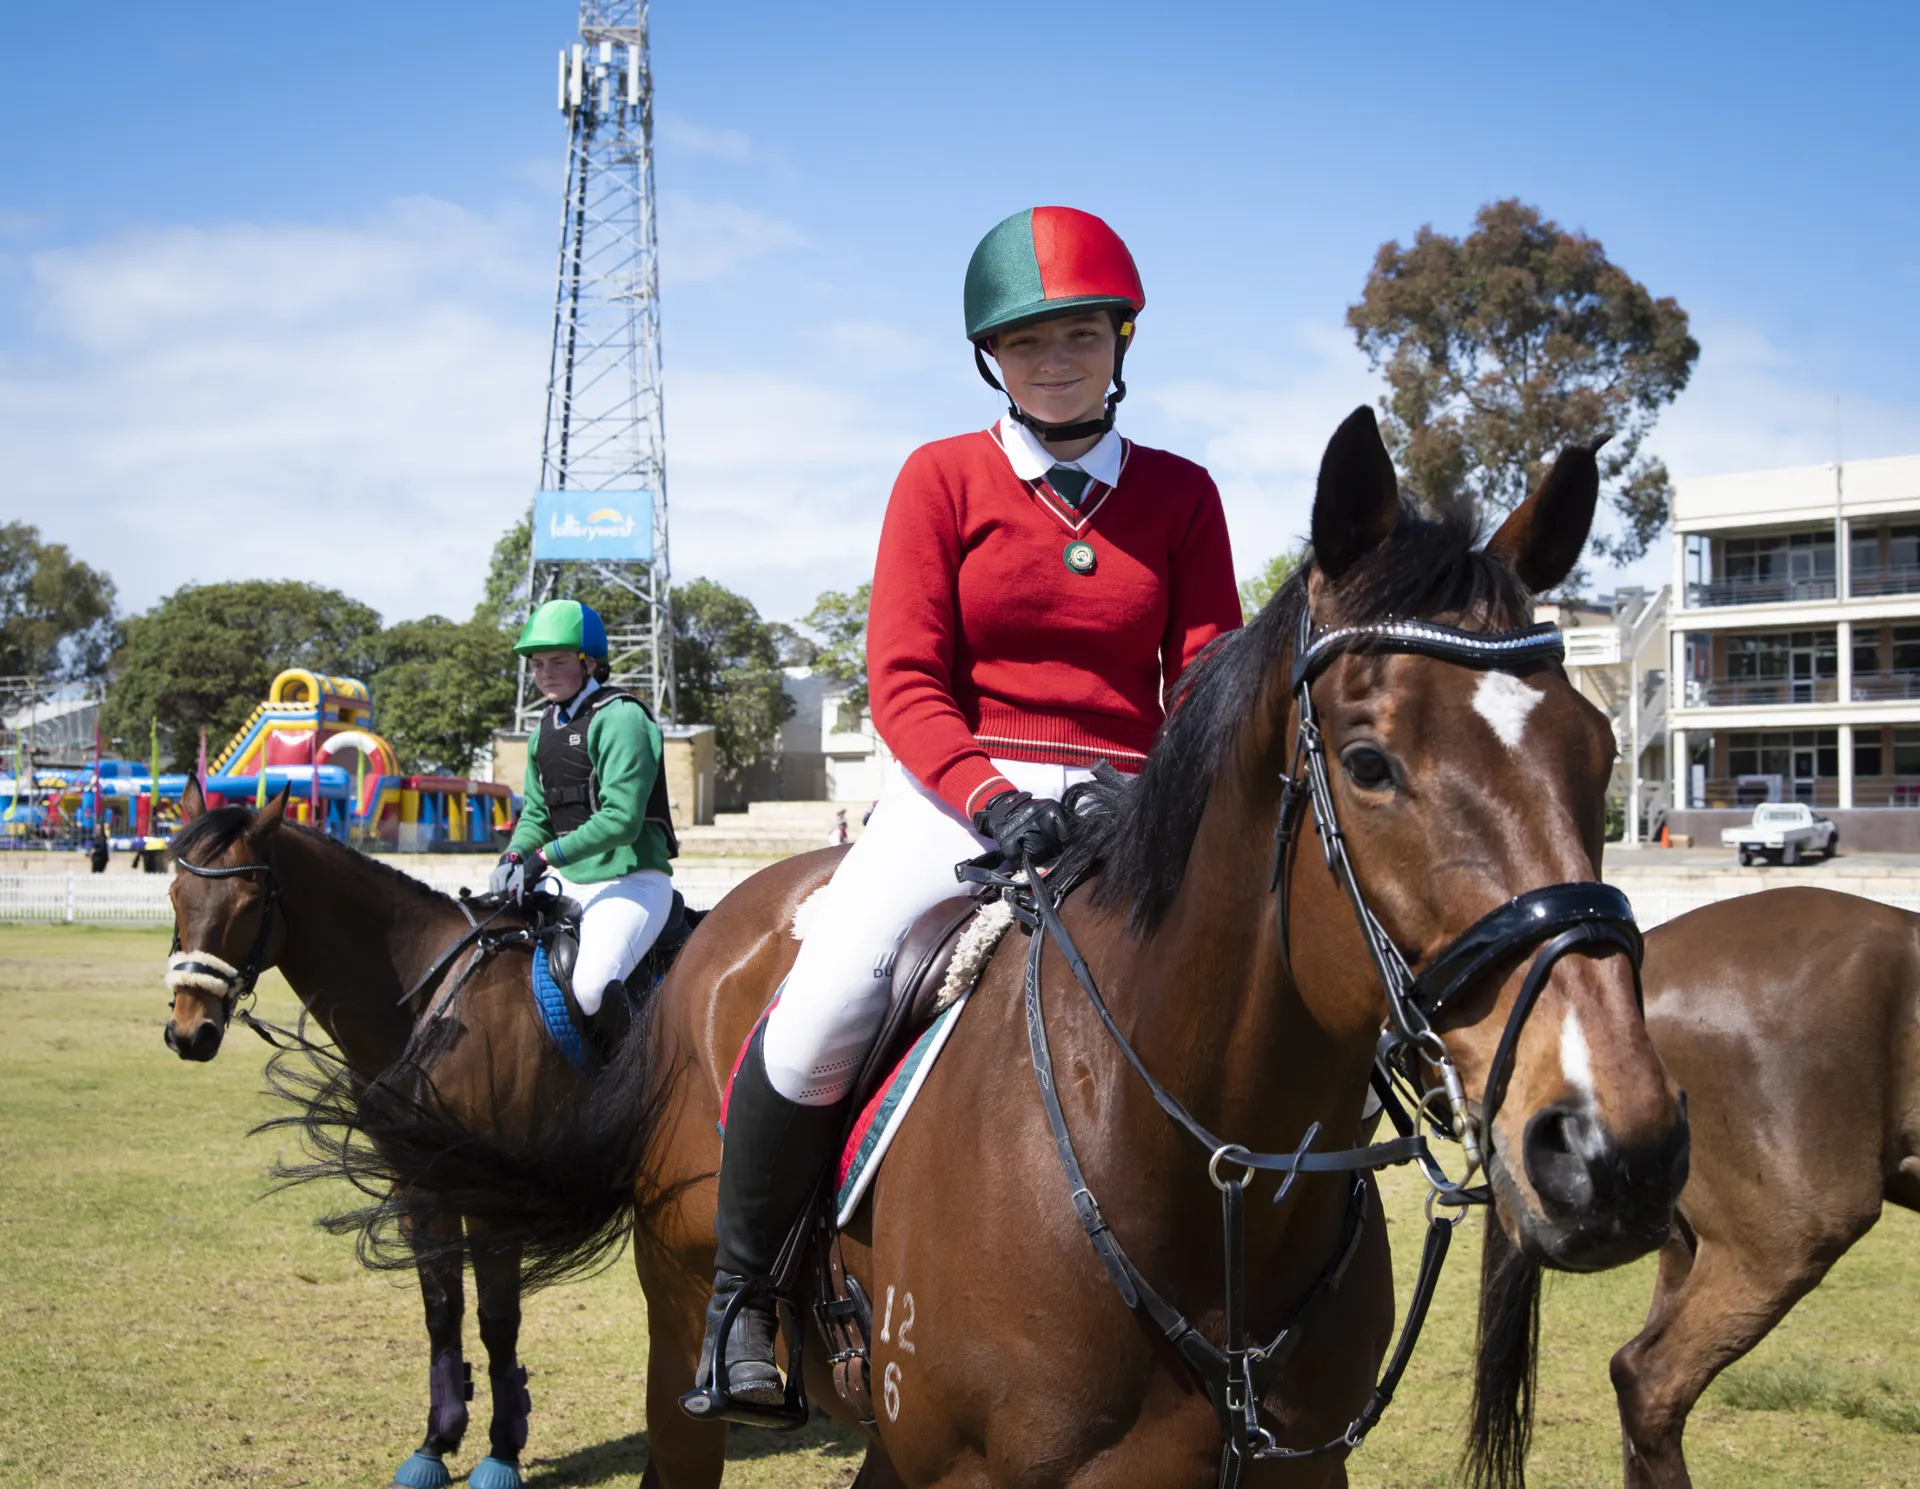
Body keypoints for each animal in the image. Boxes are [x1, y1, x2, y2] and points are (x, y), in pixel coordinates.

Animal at [162, 782, 667, 1489]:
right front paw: (437, 1440)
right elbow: (442, 1310)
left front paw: (502, 1451)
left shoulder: (492, 1195)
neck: (434, 996)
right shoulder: (421, 1184)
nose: (190, 1031)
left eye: (248, 901)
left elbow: (497, 1319)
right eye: (175, 894)